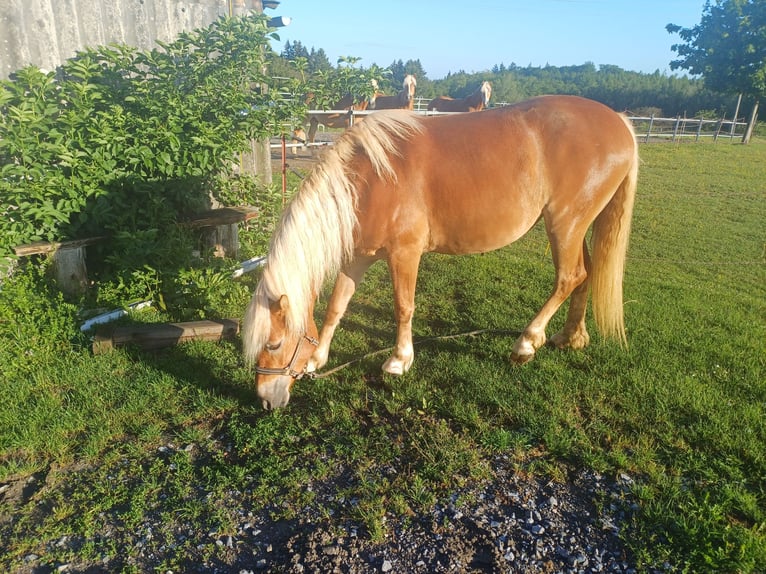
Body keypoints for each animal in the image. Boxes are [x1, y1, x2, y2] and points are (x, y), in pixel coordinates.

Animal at [243, 95, 639, 409]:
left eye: (274, 344)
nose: (265, 400)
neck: (370, 180)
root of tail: (619, 121)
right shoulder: (359, 255)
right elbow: (336, 306)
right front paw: (317, 359)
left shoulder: (404, 253)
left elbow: (403, 306)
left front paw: (398, 361)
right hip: (577, 227)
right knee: (586, 274)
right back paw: (571, 338)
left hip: (564, 225)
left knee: (568, 278)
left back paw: (527, 343)